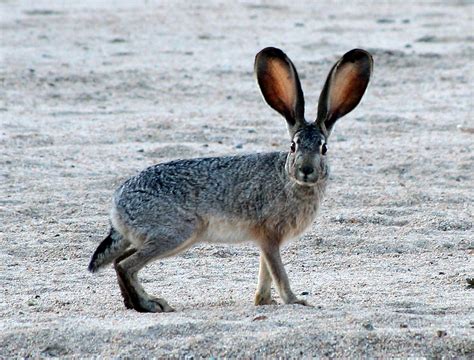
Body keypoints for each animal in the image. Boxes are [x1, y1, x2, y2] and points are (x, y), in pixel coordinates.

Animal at [87, 47, 372, 312]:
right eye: (293, 146)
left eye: (324, 148)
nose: (306, 170)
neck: (289, 179)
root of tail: (116, 206)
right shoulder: (269, 235)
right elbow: (278, 272)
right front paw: (294, 301)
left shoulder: (266, 241)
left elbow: (266, 271)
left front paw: (264, 301)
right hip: (176, 233)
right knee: (127, 265)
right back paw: (150, 304)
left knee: (118, 262)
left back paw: (137, 303)